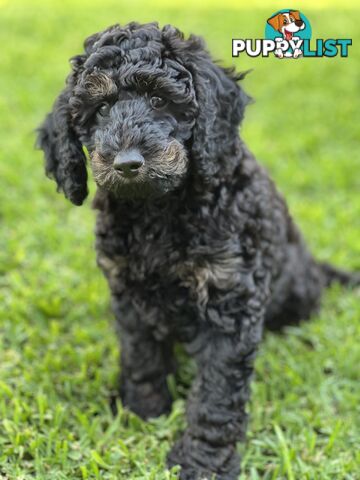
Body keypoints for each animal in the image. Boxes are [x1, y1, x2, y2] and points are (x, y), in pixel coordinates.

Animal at [36, 21, 358, 480]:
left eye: (159, 100)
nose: (127, 163)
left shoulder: (231, 300)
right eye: (100, 109)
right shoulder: (128, 293)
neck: (157, 211)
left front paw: (202, 461)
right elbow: (142, 359)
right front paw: (143, 413)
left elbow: (216, 396)